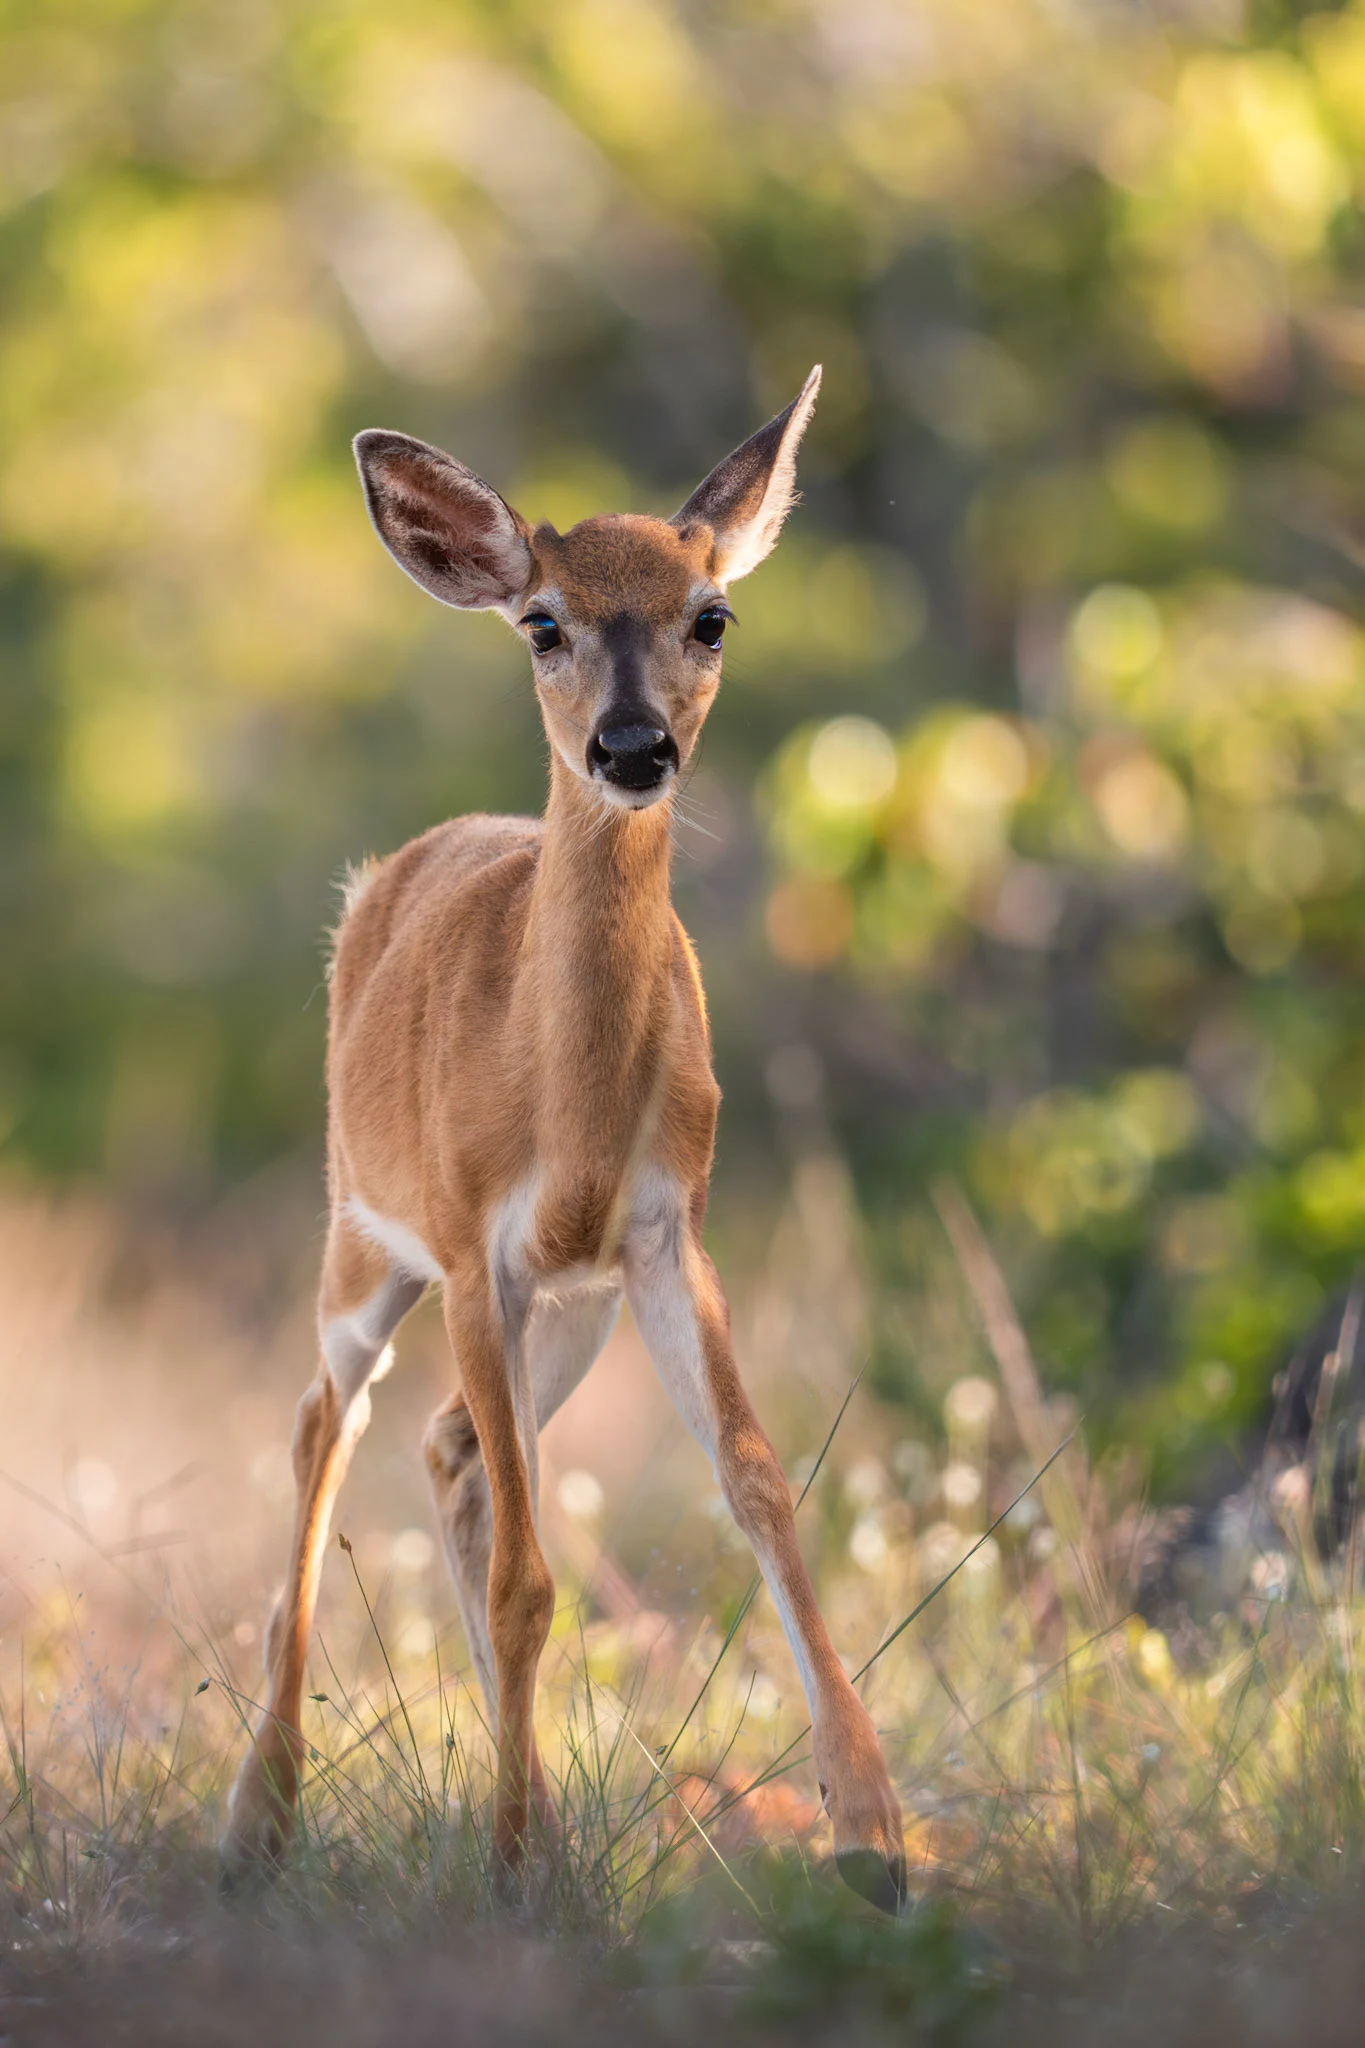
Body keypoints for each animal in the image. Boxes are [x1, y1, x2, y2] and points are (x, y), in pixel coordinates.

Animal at [220, 367, 906, 1913]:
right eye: (542, 620)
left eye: (711, 615)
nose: (633, 748)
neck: (569, 1099)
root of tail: (395, 869)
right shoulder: (477, 1243)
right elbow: (534, 1576)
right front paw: (517, 1864)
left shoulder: (661, 1231)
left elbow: (760, 1484)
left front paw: (872, 1838)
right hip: (363, 1236)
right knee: (324, 1426)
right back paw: (259, 1819)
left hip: (568, 1309)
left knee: (451, 1452)